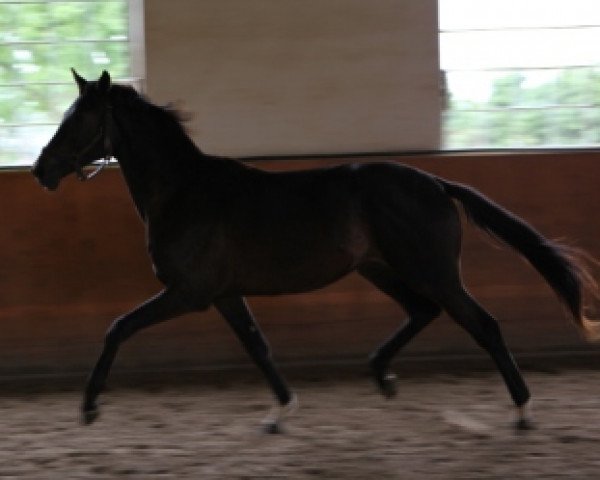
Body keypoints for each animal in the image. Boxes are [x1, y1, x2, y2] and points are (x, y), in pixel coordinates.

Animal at [34, 70, 600, 432]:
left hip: (432, 271)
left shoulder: (188, 293)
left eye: (79, 120)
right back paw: (381, 376)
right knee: (423, 311)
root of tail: (437, 184)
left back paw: (522, 411)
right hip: (380, 268)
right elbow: (257, 346)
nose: (42, 170)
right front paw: (280, 411)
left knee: (483, 324)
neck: (184, 192)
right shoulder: (223, 294)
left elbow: (117, 328)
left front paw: (89, 409)